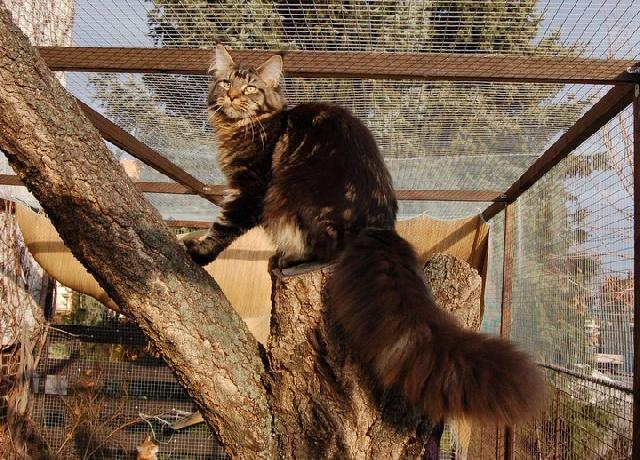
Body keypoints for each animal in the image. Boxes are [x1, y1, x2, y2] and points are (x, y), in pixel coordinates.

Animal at [185, 44, 545, 425]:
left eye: (251, 87)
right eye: (226, 83)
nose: (232, 96)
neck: (240, 127)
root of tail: (378, 226)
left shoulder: (251, 189)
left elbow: (223, 226)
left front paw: (196, 250)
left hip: (291, 194)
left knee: (328, 252)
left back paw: (290, 263)